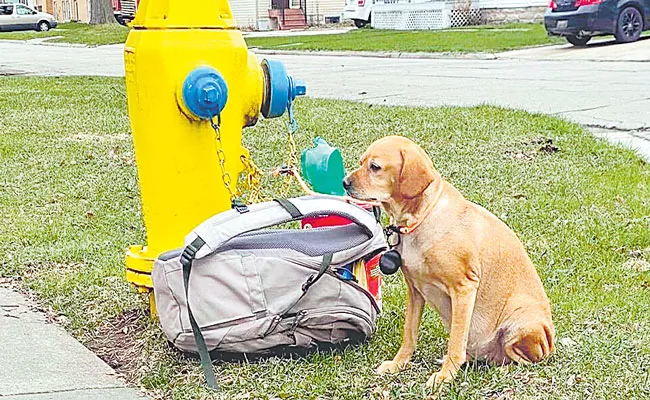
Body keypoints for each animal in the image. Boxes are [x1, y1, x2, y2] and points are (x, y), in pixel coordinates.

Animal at [344, 136, 552, 386]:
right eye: (361, 162)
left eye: (375, 167)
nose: (344, 183)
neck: (420, 219)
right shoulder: (415, 291)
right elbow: (409, 335)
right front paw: (398, 364)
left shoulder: (464, 288)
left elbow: (455, 342)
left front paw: (445, 376)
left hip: (521, 320)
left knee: (524, 359)